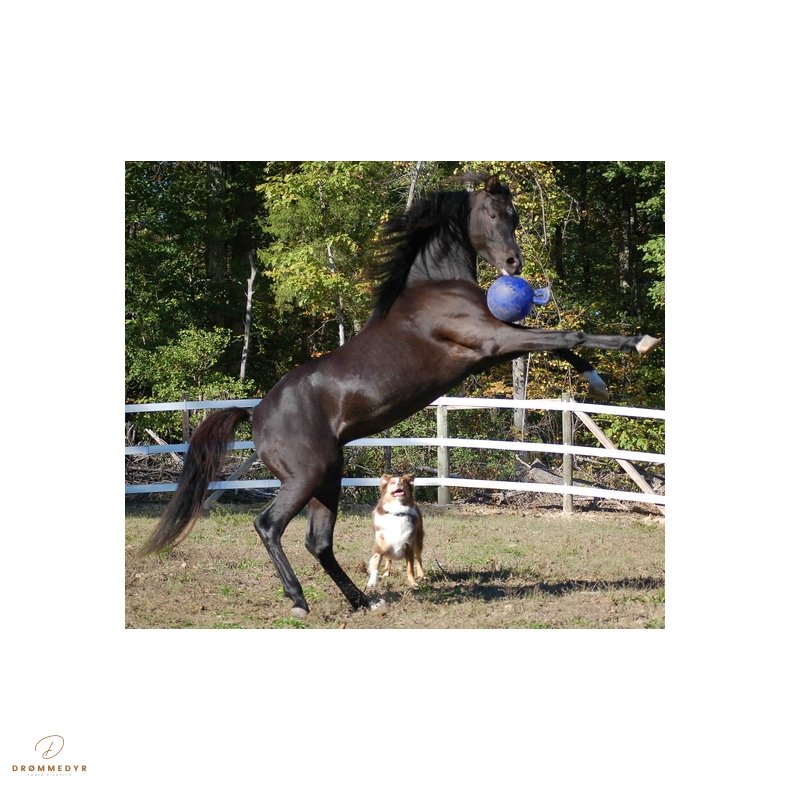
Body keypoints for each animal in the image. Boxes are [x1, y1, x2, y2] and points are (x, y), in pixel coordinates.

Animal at [141, 175, 660, 617]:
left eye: (514, 217)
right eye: (493, 214)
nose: (515, 265)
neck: (435, 287)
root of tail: (255, 413)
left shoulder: (492, 347)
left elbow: (560, 343)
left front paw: (598, 379)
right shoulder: (492, 342)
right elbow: (568, 334)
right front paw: (638, 343)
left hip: (328, 478)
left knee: (318, 542)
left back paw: (362, 602)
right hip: (305, 477)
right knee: (269, 526)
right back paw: (299, 601)